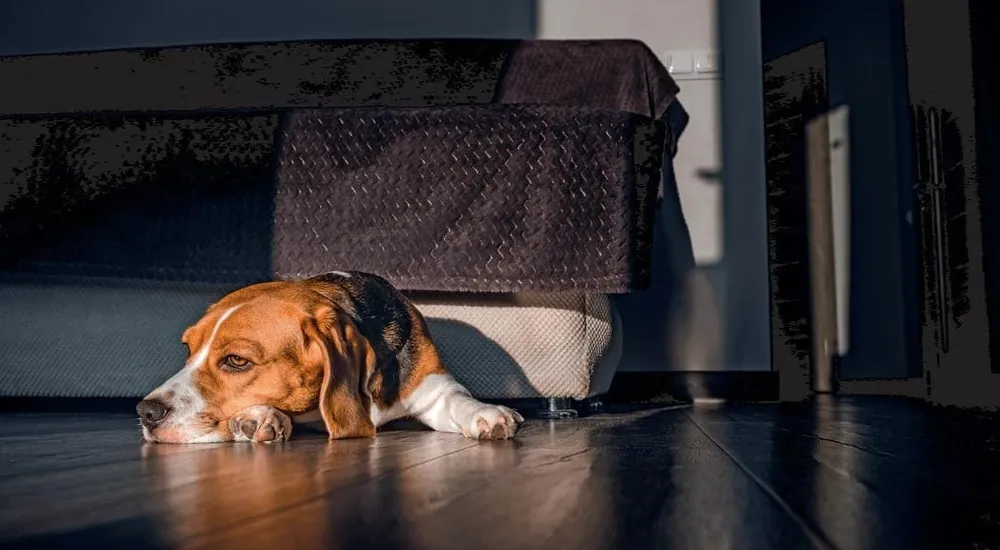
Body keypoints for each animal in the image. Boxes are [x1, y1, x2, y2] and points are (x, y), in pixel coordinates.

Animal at [137, 272, 528, 444]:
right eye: (188, 350)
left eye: (236, 360)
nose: (146, 412)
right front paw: (260, 417)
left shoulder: (433, 388)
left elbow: (459, 399)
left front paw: (488, 413)